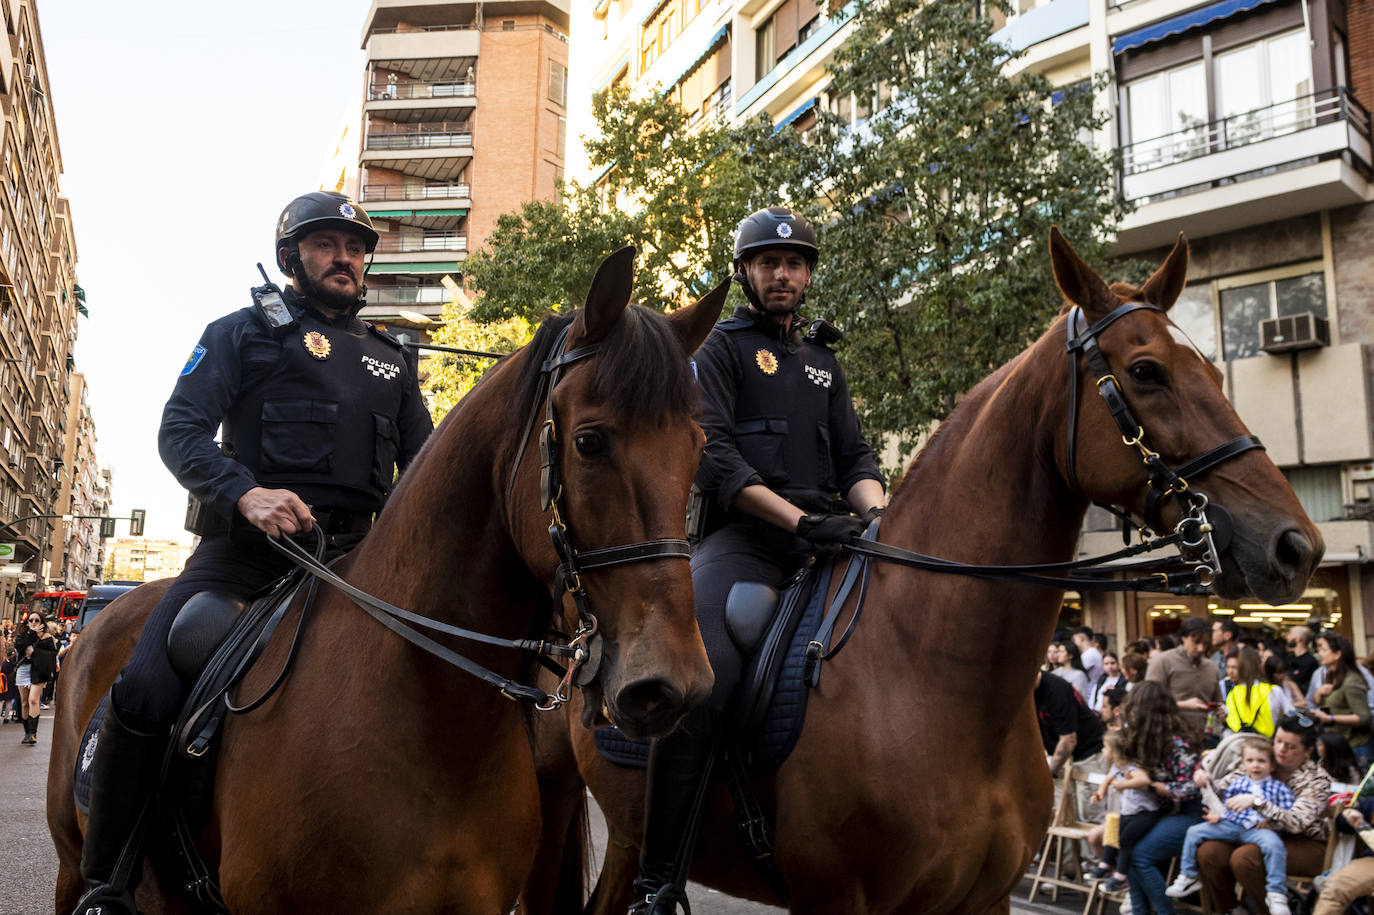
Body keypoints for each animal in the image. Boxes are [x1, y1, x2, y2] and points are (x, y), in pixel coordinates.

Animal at [44, 247, 730, 912]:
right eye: (589, 442)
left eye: (698, 448)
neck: (437, 721)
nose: (673, 685)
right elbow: (183, 421)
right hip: (72, 866)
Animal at [541, 229, 1324, 912]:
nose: (1295, 547)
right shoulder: (840, 901)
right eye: (1146, 371)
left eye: (1215, 370)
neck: (938, 671)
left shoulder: (984, 899)